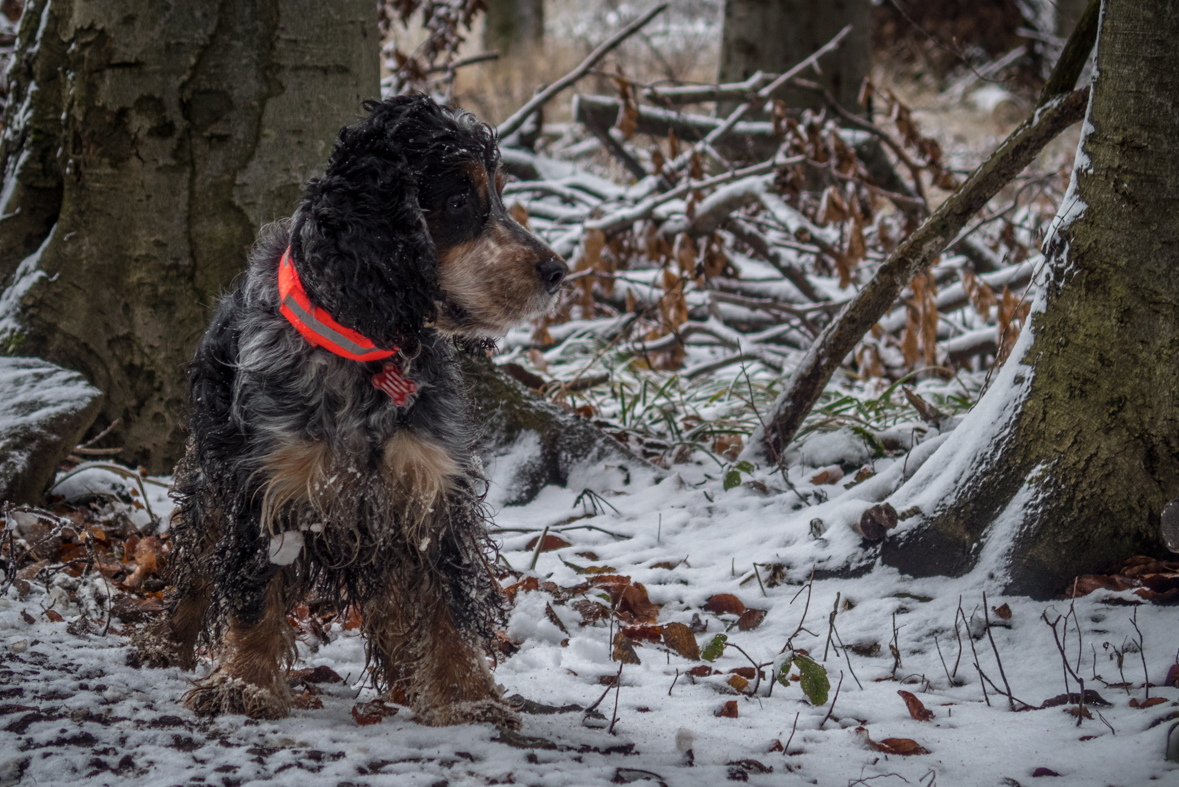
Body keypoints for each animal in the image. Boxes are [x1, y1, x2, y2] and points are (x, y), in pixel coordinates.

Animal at [129, 95, 565, 730]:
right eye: (460, 201)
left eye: (500, 196)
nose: (559, 273)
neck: (365, 356)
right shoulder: (268, 484)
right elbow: (252, 593)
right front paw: (244, 683)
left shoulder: (431, 488)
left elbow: (446, 603)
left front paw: (465, 696)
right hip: (213, 467)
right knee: (197, 563)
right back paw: (167, 643)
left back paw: (409, 680)